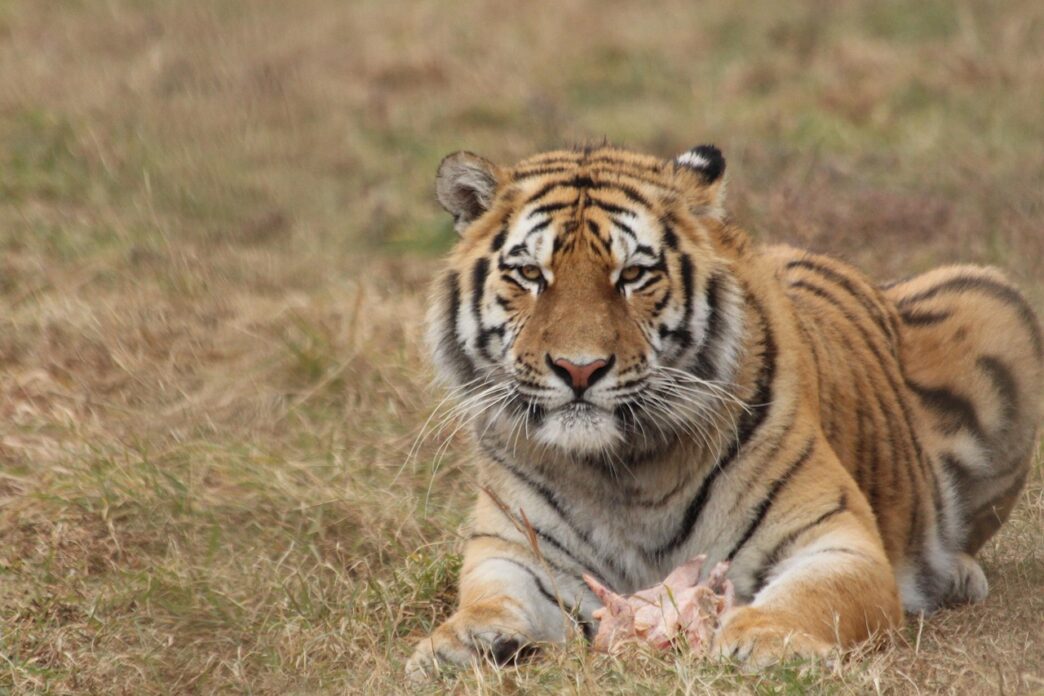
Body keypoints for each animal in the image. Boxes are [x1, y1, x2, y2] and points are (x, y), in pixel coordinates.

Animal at [406, 143, 1042, 677]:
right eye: (530, 275)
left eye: (633, 274)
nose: (579, 369)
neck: (620, 470)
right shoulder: (510, 551)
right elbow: (492, 600)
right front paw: (455, 644)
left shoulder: (837, 539)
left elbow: (813, 597)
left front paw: (765, 638)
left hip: (997, 303)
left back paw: (956, 574)